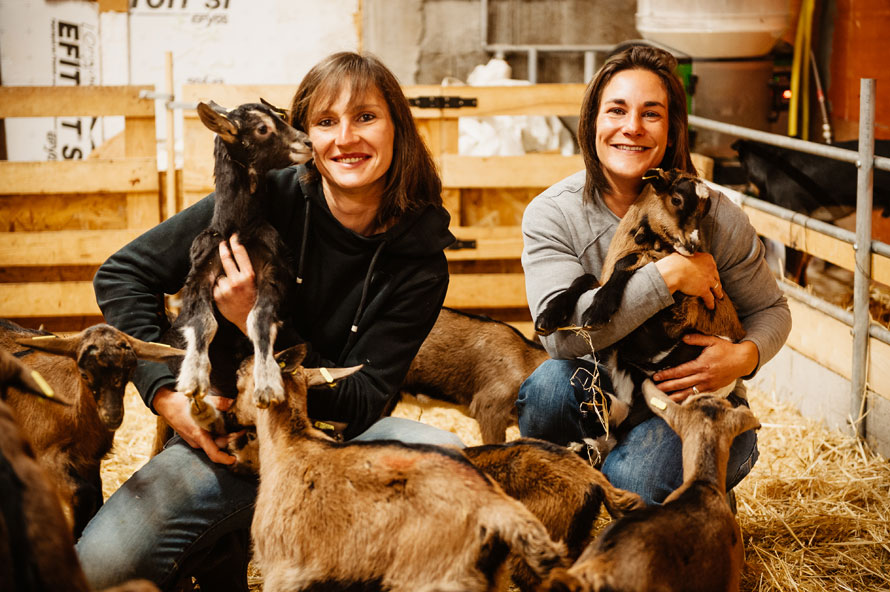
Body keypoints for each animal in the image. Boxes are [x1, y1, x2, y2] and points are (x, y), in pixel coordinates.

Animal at [1, 320, 182, 536]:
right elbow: (83, 492)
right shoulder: (44, 455)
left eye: (129, 371)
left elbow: (96, 497)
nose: (112, 416)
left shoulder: (90, 461)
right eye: (84, 374)